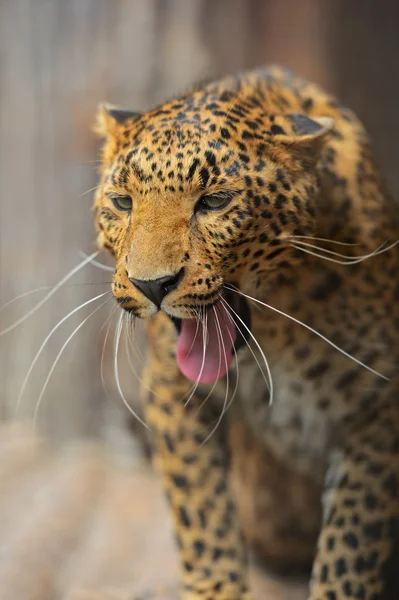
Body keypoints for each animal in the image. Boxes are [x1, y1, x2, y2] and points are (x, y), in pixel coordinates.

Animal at [94, 67, 399, 600]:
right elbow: (203, 515)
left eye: (215, 202)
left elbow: (350, 544)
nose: (151, 285)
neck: (277, 335)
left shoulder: (379, 409)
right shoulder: (174, 392)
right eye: (122, 202)